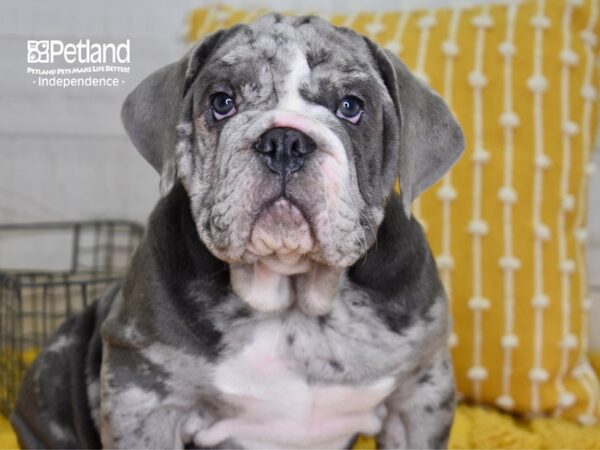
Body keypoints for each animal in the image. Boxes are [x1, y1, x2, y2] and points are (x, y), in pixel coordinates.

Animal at [11, 12, 466, 448]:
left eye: (351, 106)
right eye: (222, 102)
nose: (284, 142)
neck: (290, 295)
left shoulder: (420, 394)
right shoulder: (143, 396)